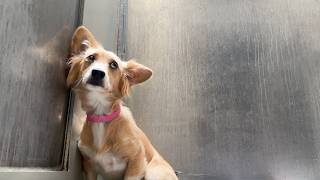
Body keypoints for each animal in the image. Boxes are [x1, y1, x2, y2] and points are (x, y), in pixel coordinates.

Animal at [66, 25, 179, 180]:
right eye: (91, 57)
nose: (97, 73)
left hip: (153, 172)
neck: (101, 117)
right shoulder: (89, 166)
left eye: (114, 65)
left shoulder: (138, 161)